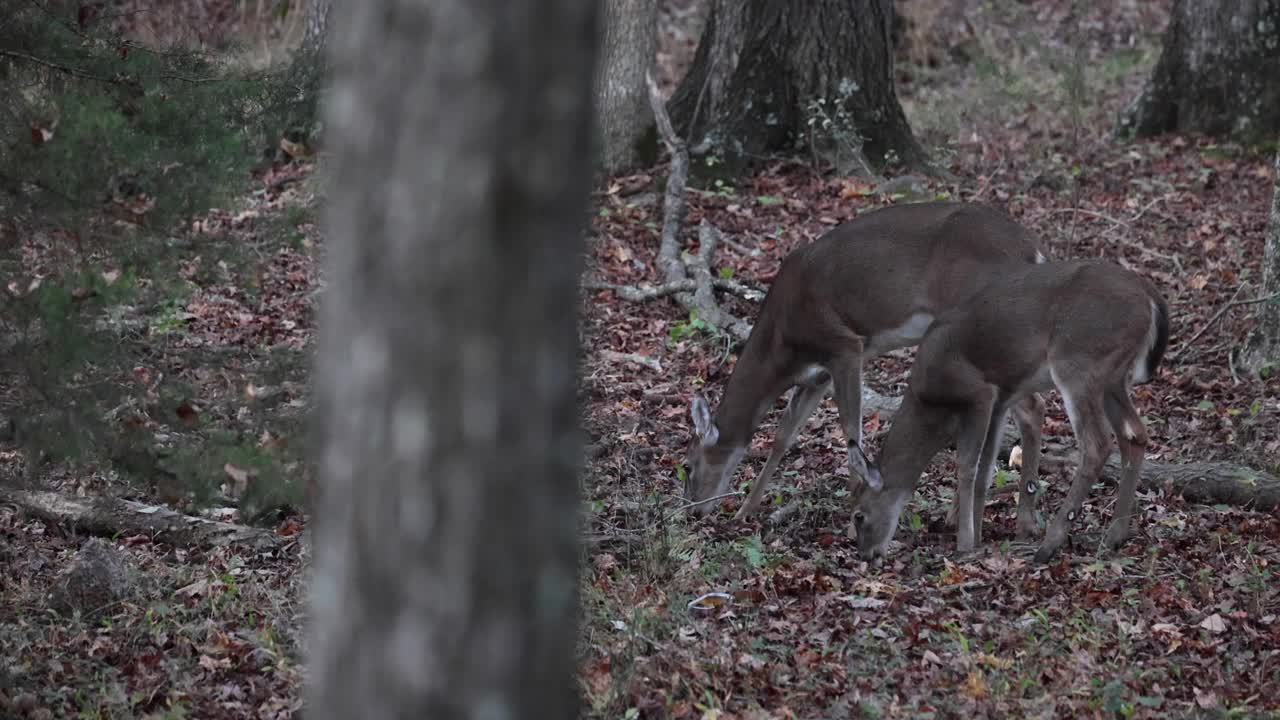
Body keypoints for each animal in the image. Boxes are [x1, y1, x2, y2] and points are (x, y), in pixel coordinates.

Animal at [686, 198, 1044, 535]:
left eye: (688, 467)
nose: (694, 512)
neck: (782, 343)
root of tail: (1033, 250)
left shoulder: (844, 345)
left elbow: (850, 430)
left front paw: (851, 519)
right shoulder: (817, 375)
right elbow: (784, 434)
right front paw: (745, 510)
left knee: (1030, 404)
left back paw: (1008, 520)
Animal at [849, 256, 1172, 561]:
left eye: (858, 516)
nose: (866, 555)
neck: (932, 404)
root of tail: (1150, 297)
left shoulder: (980, 393)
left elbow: (967, 467)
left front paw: (965, 543)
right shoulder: (1000, 401)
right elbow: (984, 471)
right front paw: (978, 535)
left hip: (1079, 361)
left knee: (1097, 444)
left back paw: (1048, 546)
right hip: (1113, 378)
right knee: (1135, 435)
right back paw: (1114, 536)